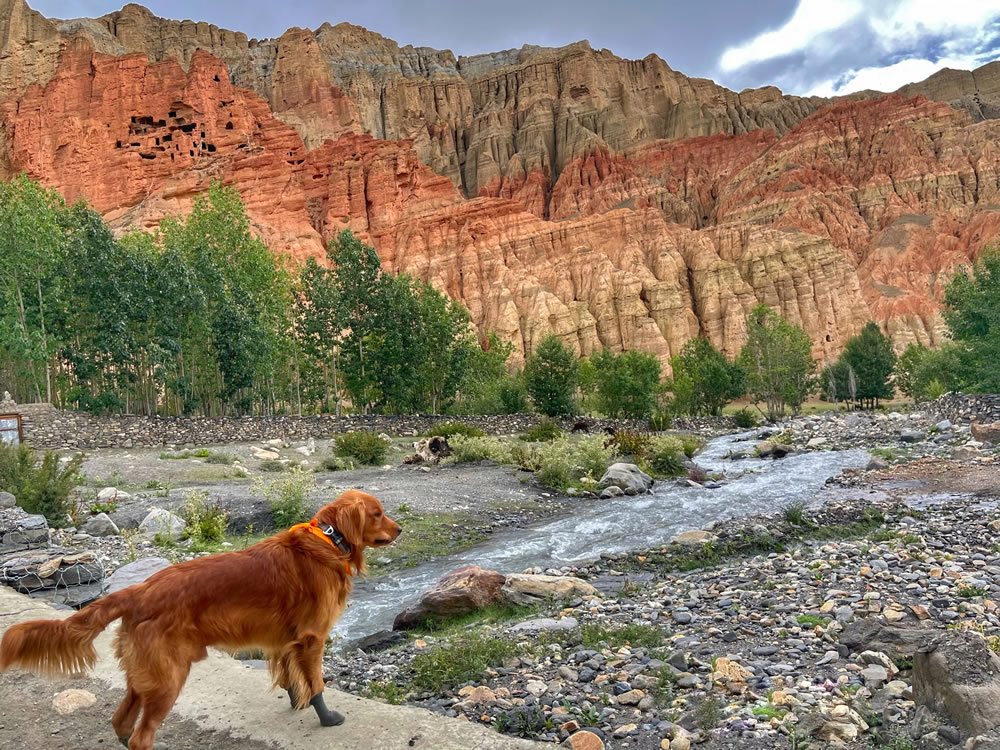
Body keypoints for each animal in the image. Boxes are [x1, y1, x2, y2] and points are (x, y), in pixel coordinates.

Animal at [0, 490, 398, 750]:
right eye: (378, 513)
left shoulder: (284, 641)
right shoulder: (313, 638)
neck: (328, 542)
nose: (400, 530)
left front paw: (294, 701)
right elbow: (316, 685)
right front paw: (327, 718)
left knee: (121, 722)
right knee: (142, 736)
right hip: (168, 677)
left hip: (143, 675)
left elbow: (289, 678)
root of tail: (141, 590)